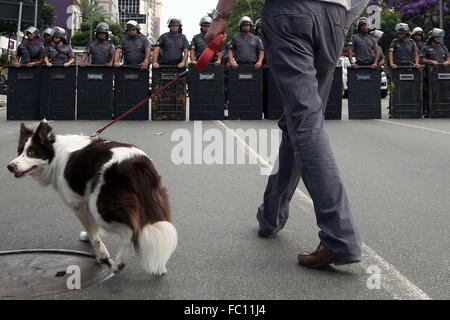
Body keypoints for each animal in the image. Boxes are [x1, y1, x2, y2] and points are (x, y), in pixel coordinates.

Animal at [7, 120, 176, 276]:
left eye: (31, 153)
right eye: (19, 151)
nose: (10, 167)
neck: (56, 153)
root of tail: (135, 163)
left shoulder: (78, 204)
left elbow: (93, 231)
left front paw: (101, 254)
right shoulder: (86, 199)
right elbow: (91, 228)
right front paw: (87, 237)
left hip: (102, 207)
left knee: (132, 234)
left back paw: (119, 264)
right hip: (152, 200)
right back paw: (160, 266)